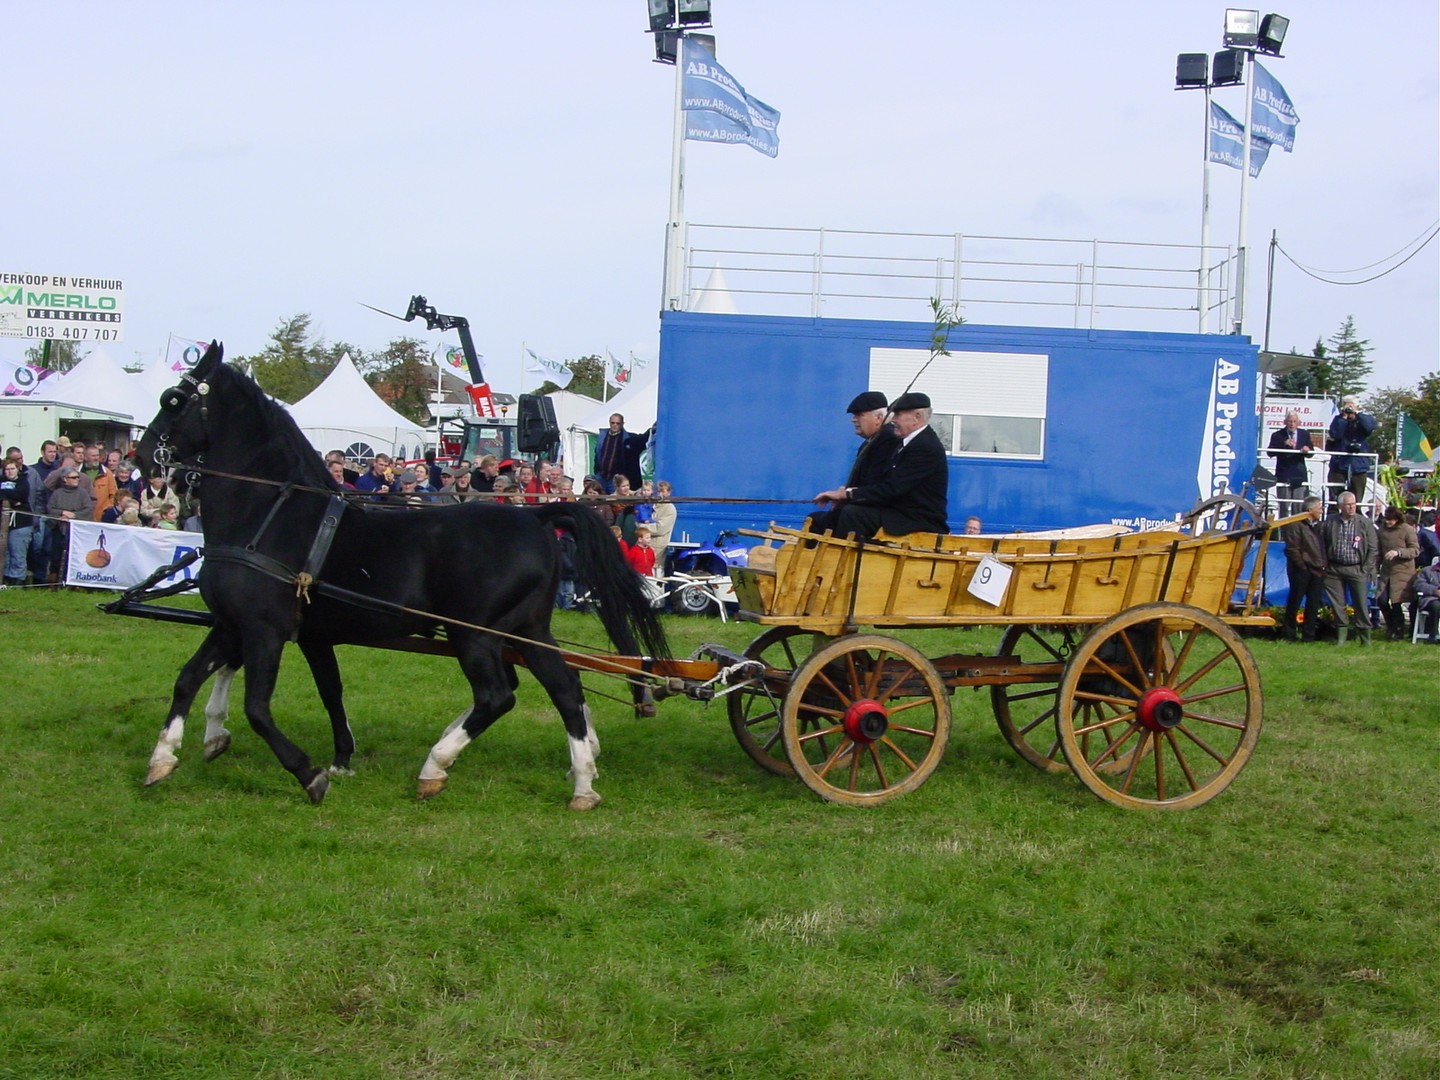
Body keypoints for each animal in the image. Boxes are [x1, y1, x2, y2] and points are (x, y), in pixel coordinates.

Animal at [135, 342, 662, 806]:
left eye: (173, 400)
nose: (144, 457)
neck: (270, 515)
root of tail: (536, 516)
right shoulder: (241, 624)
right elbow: (192, 678)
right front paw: (165, 757)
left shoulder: (266, 628)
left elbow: (259, 708)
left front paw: (311, 775)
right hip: (527, 629)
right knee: (565, 689)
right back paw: (582, 784)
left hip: (476, 634)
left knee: (497, 696)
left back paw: (435, 766)